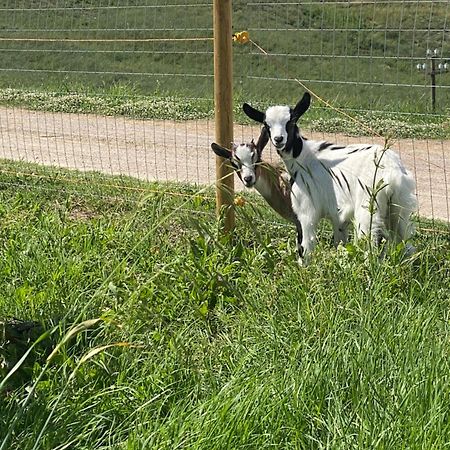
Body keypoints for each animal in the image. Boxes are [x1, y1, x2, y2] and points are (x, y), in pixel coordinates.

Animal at [244, 93, 416, 266]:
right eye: (267, 124)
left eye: (291, 121)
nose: (278, 139)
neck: (302, 157)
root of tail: (392, 172)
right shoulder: (338, 216)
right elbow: (340, 242)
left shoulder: (306, 210)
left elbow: (305, 246)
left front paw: (303, 268)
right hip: (399, 206)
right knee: (405, 242)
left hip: (369, 206)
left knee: (372, 242)